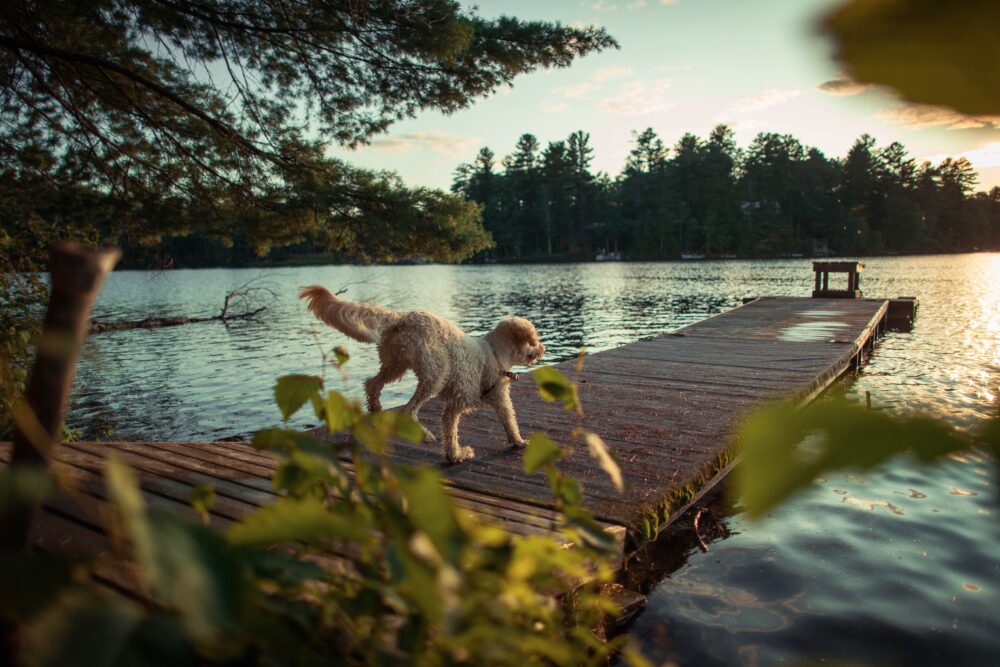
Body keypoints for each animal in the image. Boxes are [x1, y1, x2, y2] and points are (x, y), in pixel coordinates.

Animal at [300, 288, 548, 464]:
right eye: (534, 339)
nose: (543, 349)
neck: (494, 352)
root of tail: (402, 317)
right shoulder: (456, 405)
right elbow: (452, 433)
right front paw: (457, 455)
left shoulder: (497, 400)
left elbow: (508, 421)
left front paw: (517, 442)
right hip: (434, 374)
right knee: (408, 410)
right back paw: (425, 434)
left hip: (395, 364)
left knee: (372, 384)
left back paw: (376, 409)